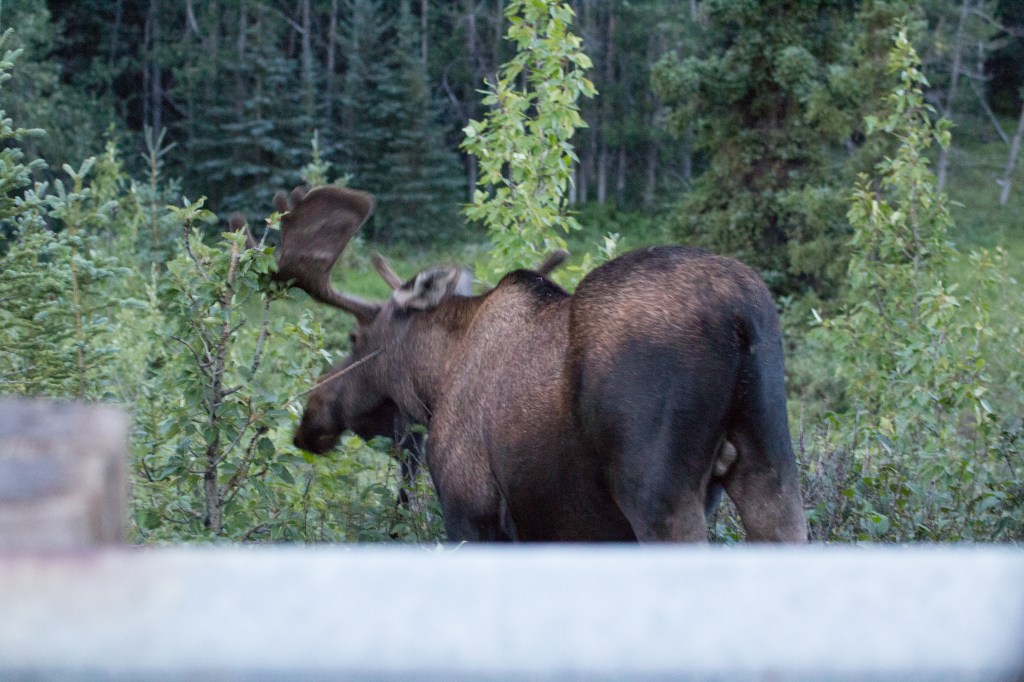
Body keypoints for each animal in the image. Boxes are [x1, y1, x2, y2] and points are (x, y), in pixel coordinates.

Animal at [274, 184, 808, 542]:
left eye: (355, 337)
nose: (309, 417)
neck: (434, 382)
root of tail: (739, 316)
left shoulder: (470, 506)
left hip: (659, 492)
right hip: (773, 469)